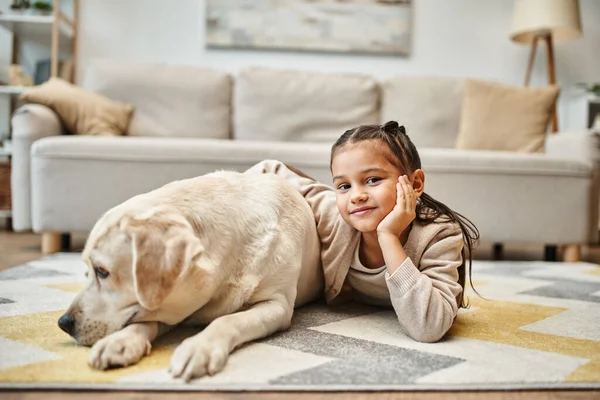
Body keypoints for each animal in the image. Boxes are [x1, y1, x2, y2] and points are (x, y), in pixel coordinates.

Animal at [57, 170, 324, 382]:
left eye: (102, 272)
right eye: (88, 272)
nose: (63, 323)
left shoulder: (277, 305)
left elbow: (228, 320)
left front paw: (199, 348)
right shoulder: (174, 304)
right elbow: (147, 318)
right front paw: (120, 341)